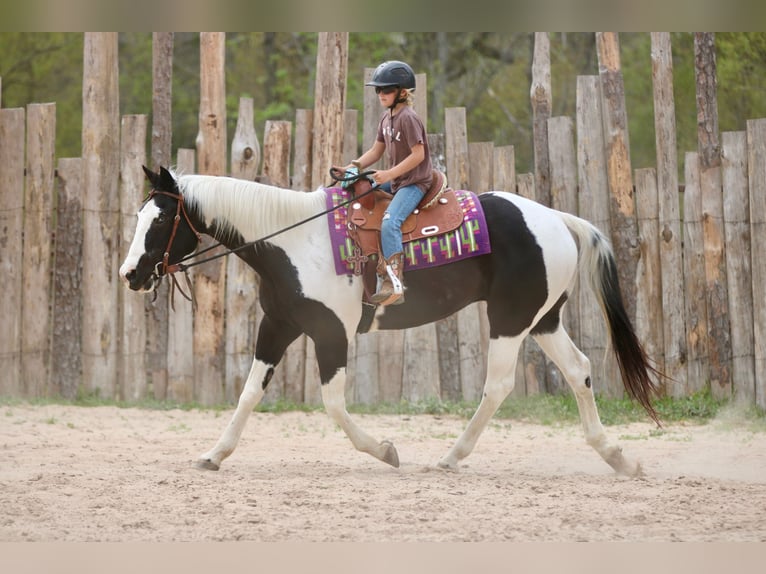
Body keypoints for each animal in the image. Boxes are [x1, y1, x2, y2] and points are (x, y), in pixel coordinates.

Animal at [120, 166, 661, 477]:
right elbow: (250, 392)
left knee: (499, 385)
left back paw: (451, 457)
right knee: (579, 370)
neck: (293, 242)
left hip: (510, 319)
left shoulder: (331, 333)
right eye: (139, 215)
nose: (130, 274)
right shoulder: (277, 326)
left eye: (161, 220)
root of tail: (557, 219)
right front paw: (214, 454)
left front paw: (384, 450)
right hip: (543, 318)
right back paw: (617, 457)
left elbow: (333, 403)